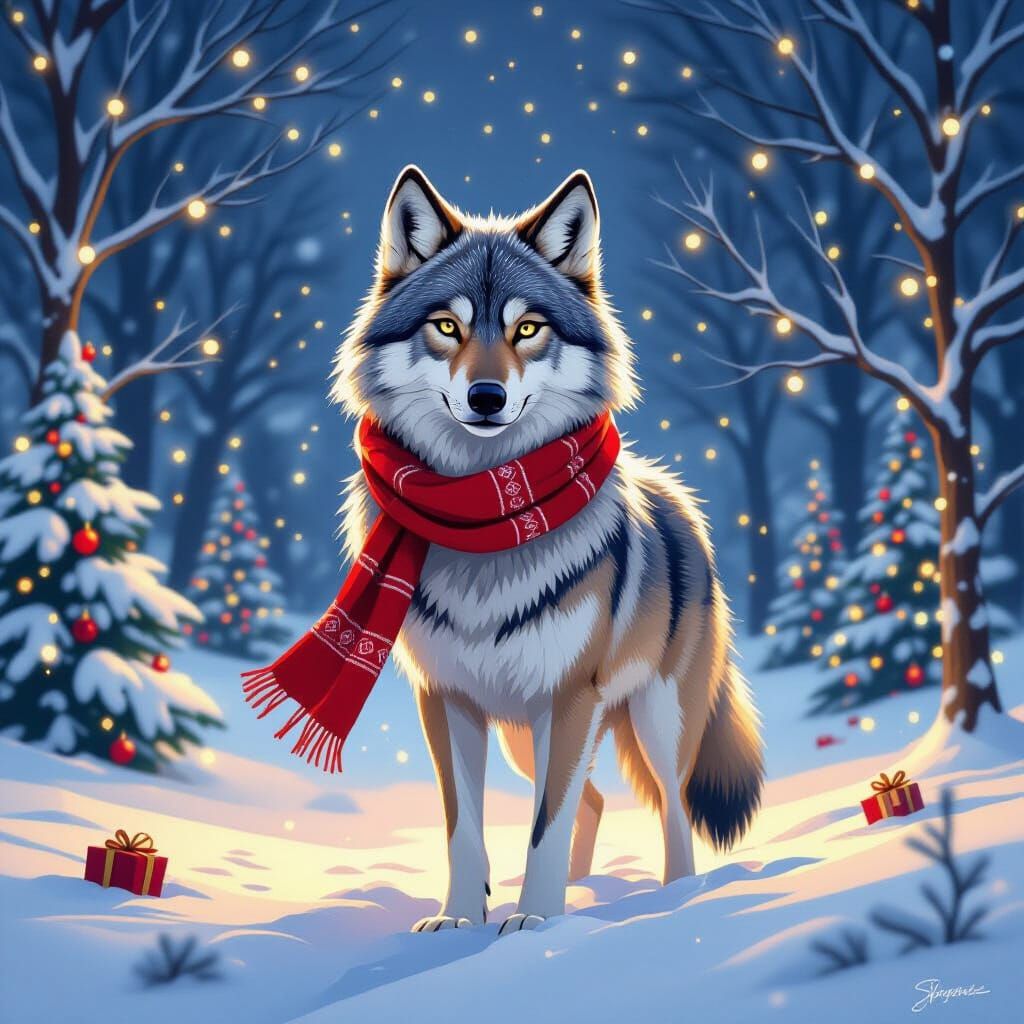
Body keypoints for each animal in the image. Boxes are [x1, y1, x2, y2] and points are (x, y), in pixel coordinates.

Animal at [333, 165, 764, 935]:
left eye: (527, 328)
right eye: (448, 326)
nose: (486, 396)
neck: (482, 526)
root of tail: (681, 501)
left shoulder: (568, 697)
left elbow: (545, 828)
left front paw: (534, 924)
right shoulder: (446, 700)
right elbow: (464, 828)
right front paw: (459, 920)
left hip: (655, 719)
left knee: (674, 810)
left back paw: (673, 900)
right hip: (523, 735)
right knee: (594, 799)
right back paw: (587, 890)